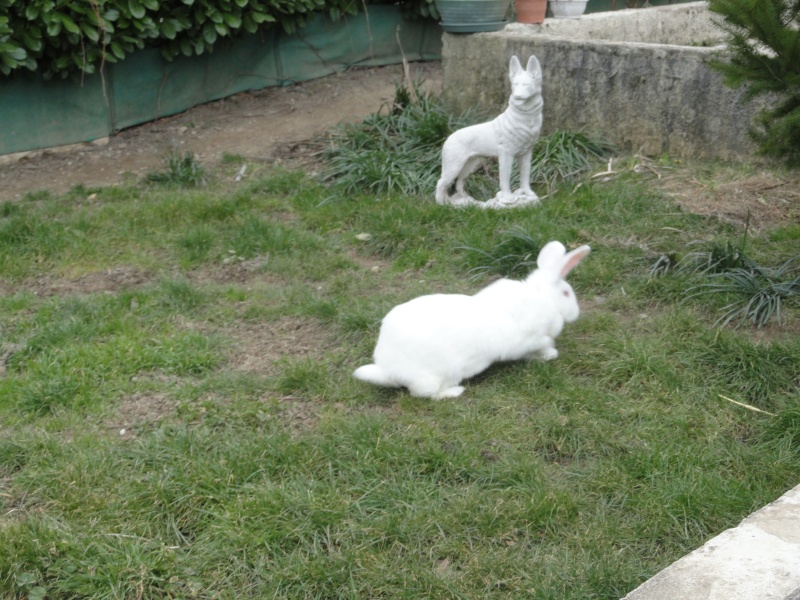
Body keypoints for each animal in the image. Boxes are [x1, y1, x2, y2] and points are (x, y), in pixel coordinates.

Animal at [354, 239, 592, 398]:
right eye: (566, 293)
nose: (576, 313)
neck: (543, 297)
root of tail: (387, 368)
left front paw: (546, 355)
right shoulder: (526, 340)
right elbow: (541, 343)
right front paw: (550, 351)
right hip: (439, 376)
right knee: (426, 394)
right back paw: (455, 391)